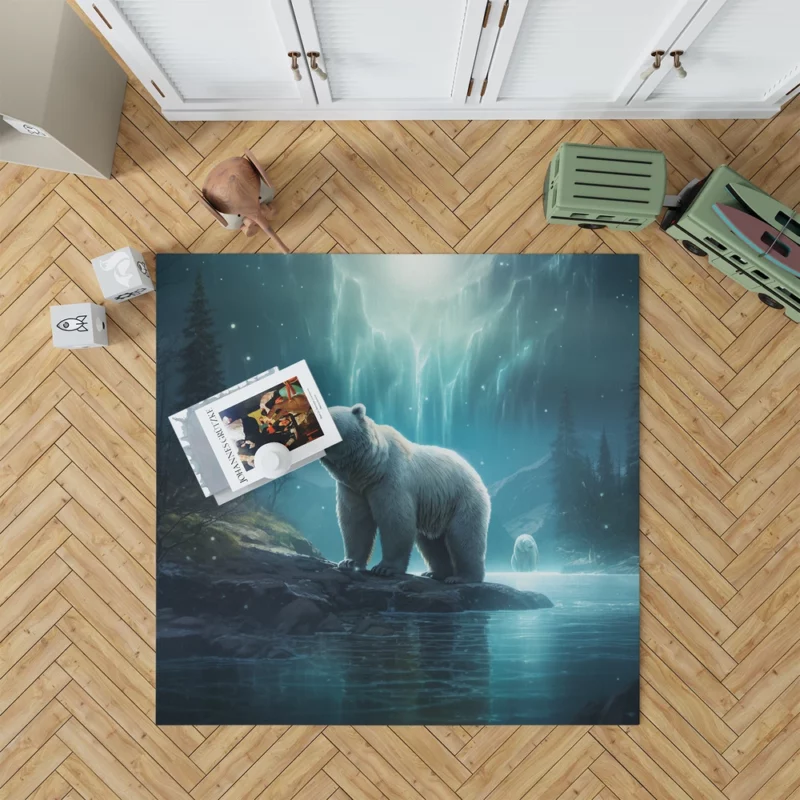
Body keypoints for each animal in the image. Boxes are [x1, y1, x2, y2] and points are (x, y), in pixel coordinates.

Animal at [322, 406, 490, 580]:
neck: (371, 467)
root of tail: (474, 471)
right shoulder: (353, 488)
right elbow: (356, 521)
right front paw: (349, 562)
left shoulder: (391, 480)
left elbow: (395, 521)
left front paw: (384, 568)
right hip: (436, 509)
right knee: (431, 543)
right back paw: (434, 573)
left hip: (462, 499)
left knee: (463, 536)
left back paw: (463, 577)